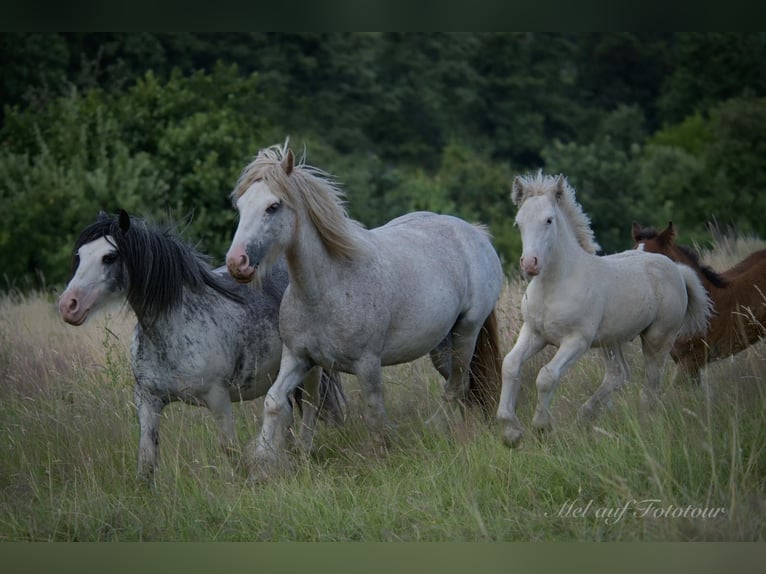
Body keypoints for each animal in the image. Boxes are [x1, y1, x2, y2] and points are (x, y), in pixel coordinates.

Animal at [60, 210, 344, 482]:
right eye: (79, 254)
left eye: (109, 257)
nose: (68, 305)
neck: (175, 330)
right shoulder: (148, 399)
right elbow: (147, 459)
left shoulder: (218, 399)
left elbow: (228, 449)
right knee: (285, 412)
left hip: (309, 369)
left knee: (311, 407)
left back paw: (301, 453)